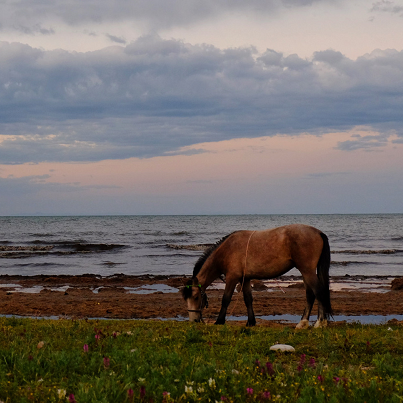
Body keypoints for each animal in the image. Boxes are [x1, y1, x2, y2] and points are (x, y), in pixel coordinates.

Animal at [182, 223, 332, 330]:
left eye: (196, 297)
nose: (194, 320)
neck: (227, 250)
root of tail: (318, 232)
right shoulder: (245, 279)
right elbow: (248, 299)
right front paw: (251, 322)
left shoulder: (232, 278)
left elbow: (226, 299)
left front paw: (219, 321)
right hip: (306, 272)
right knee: (310, 295)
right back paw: (303, 323)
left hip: (307, 271)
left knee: (319, 292)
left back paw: (320, 323)